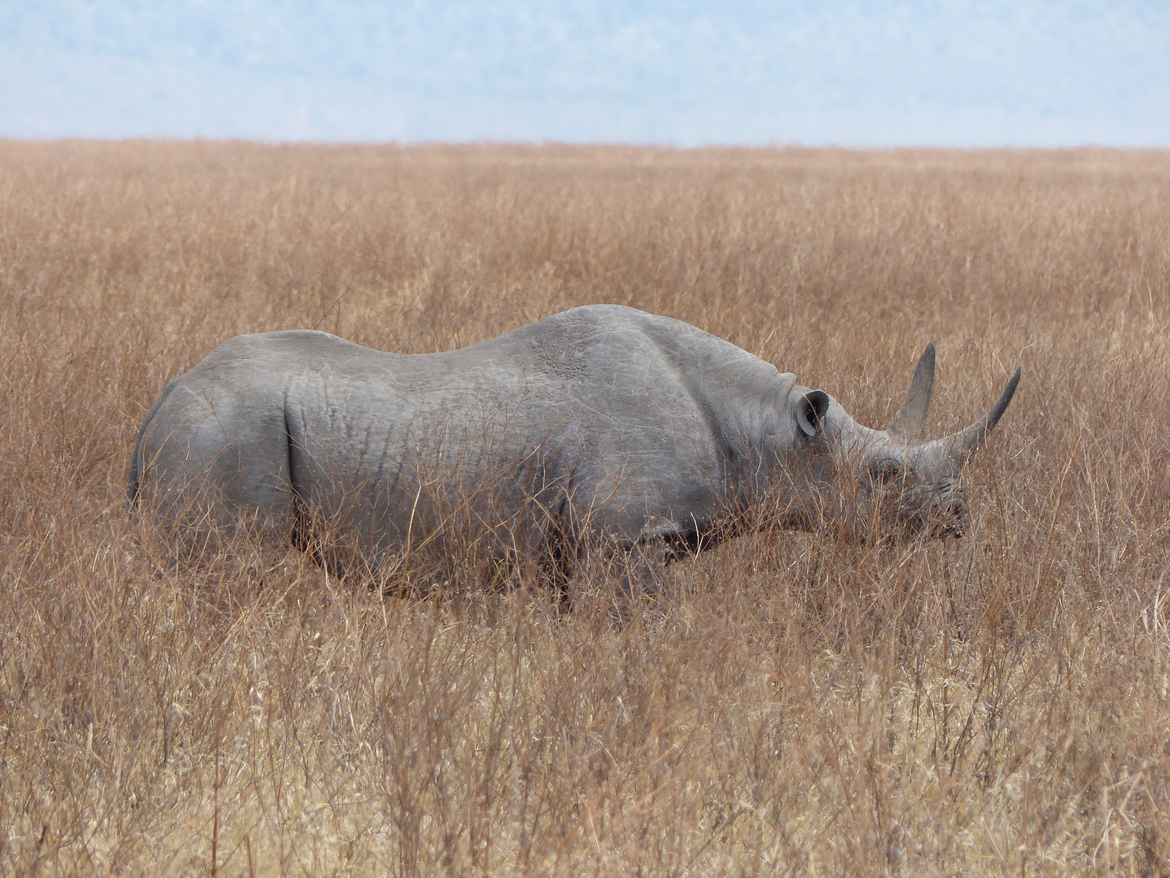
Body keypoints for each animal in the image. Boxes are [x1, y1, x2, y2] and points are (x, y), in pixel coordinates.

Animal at [127, 305, 1020, 587]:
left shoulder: (586, 543)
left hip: (211, 427)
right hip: (221, 428)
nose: (961, 518)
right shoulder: (629, 538)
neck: (766, 429)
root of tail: (159, 400)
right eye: (884, 474)